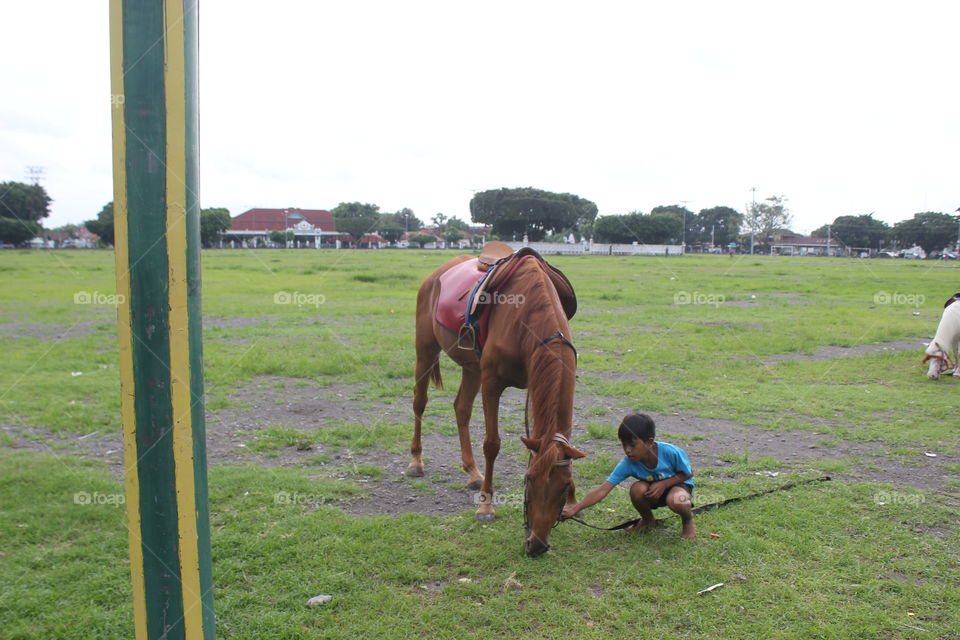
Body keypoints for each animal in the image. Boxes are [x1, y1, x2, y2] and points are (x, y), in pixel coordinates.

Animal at [406, 250, 580, 556]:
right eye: (529, 479)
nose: (537, 544)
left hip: (470, 366)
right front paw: (486, 506)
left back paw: (472, 472)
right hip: (426, 349)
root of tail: (436, 274)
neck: (526, 313)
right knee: (420, 402)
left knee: (461, 408)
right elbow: (492, 444)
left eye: (564, 487)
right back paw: (416, 461)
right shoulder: (492, 382)